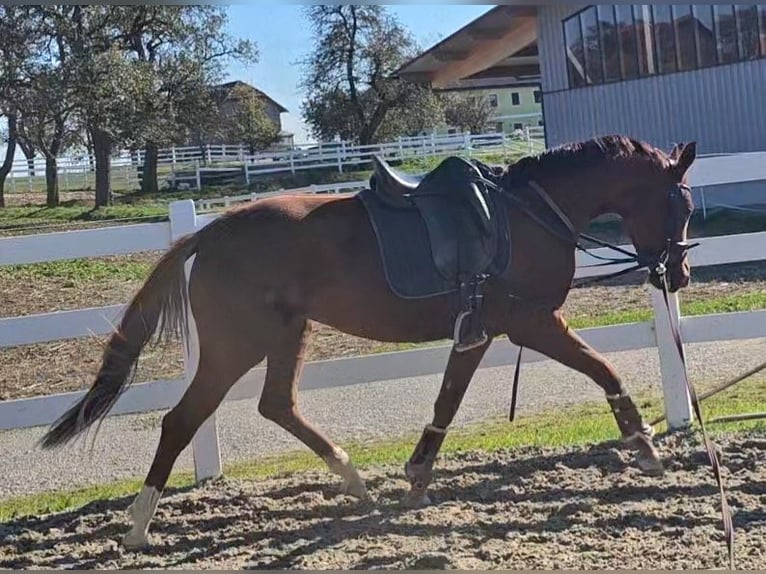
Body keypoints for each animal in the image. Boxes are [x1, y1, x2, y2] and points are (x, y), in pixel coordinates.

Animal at [39, 134, 700, 548]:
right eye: (683, 203)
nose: (680, 273)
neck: (530, 213)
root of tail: (212, 231)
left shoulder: (480, 331)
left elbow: (447, 401)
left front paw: (417, 476)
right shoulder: (529, 322)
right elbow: (602, 369)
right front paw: (644, 444)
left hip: (286, 333)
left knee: (277, 405)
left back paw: (353, 478)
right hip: (237, 345)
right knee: (182, 421)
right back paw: (138, 527)